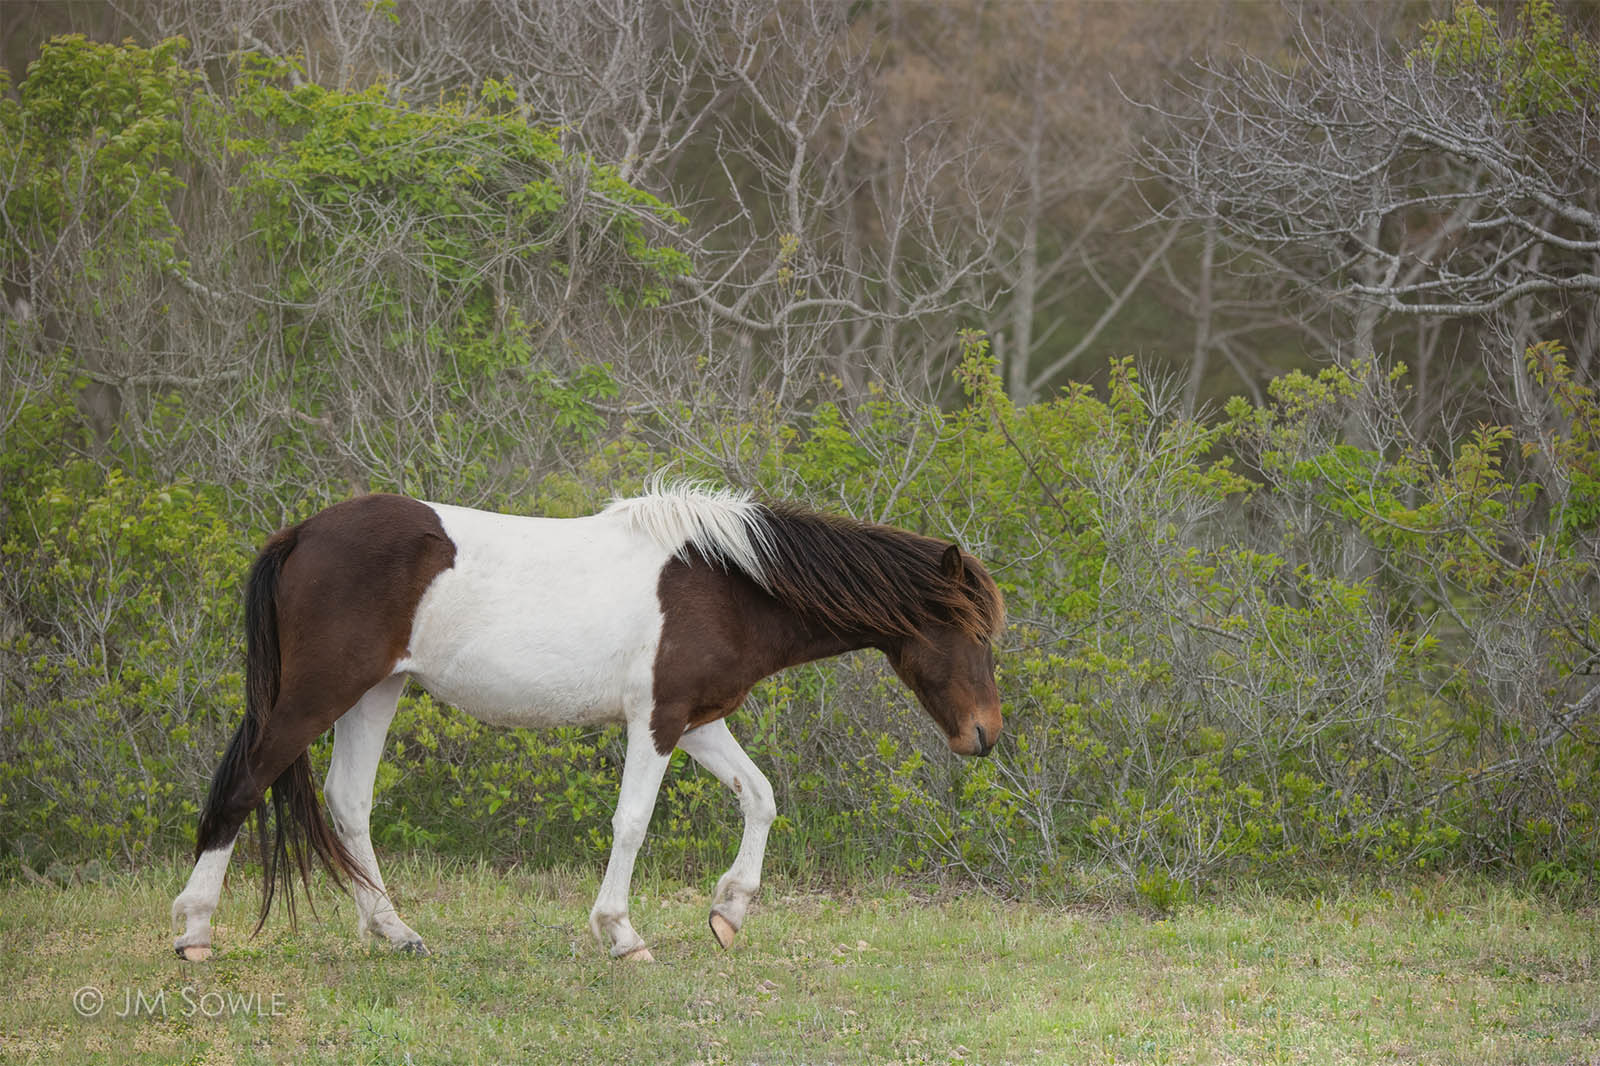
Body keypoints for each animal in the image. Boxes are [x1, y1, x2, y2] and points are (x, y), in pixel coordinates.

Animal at [171, 481, 1005, 962]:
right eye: (973, 632)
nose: (984, 736)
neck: (730, 584)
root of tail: (301, 534)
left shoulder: (697, 723)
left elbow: (761, 797)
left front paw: (729, 912)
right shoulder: (659, 720)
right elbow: (631, 823)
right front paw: (621, 934)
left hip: (376, 693)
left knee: (347, 805)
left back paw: (394, 931)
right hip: (317, 694)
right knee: (245, 786)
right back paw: (196, 930)